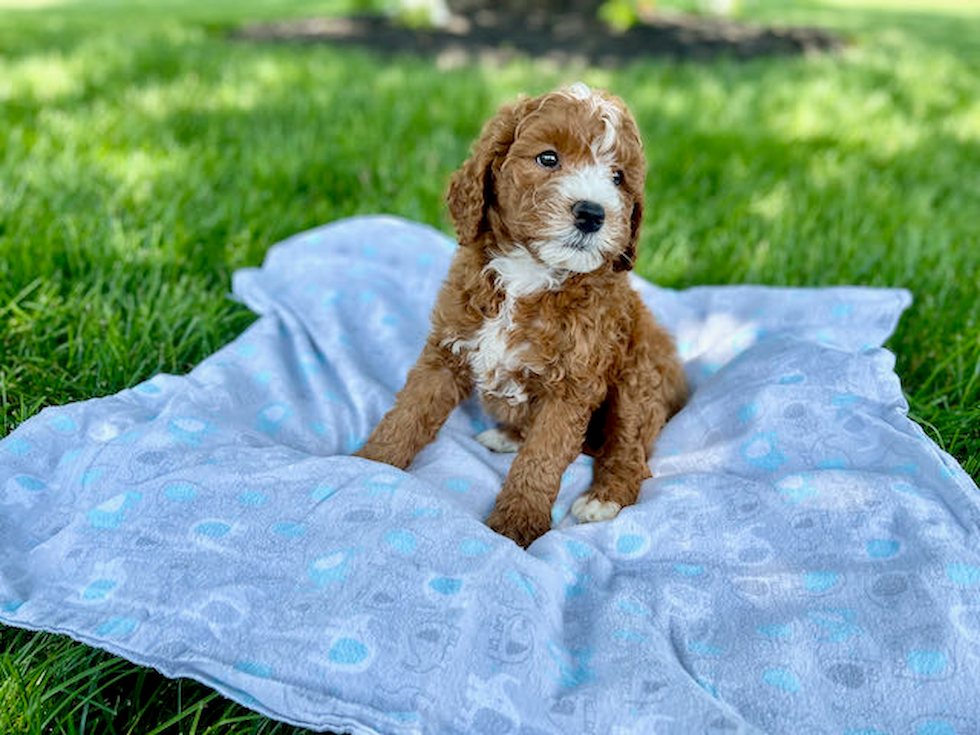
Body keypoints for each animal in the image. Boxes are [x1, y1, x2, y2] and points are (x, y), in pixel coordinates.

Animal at [356, 85, 684, 548]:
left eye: (618, 178)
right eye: (548, 158)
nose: (592, 213)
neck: (529, 273)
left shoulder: (572, 387)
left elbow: (542, 458)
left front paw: (517, 523)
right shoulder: (446, 351)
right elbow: (408, 413)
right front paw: (370, 463)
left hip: (637, 377)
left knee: (629, 449)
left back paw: (605, 497)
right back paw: (507, 435)